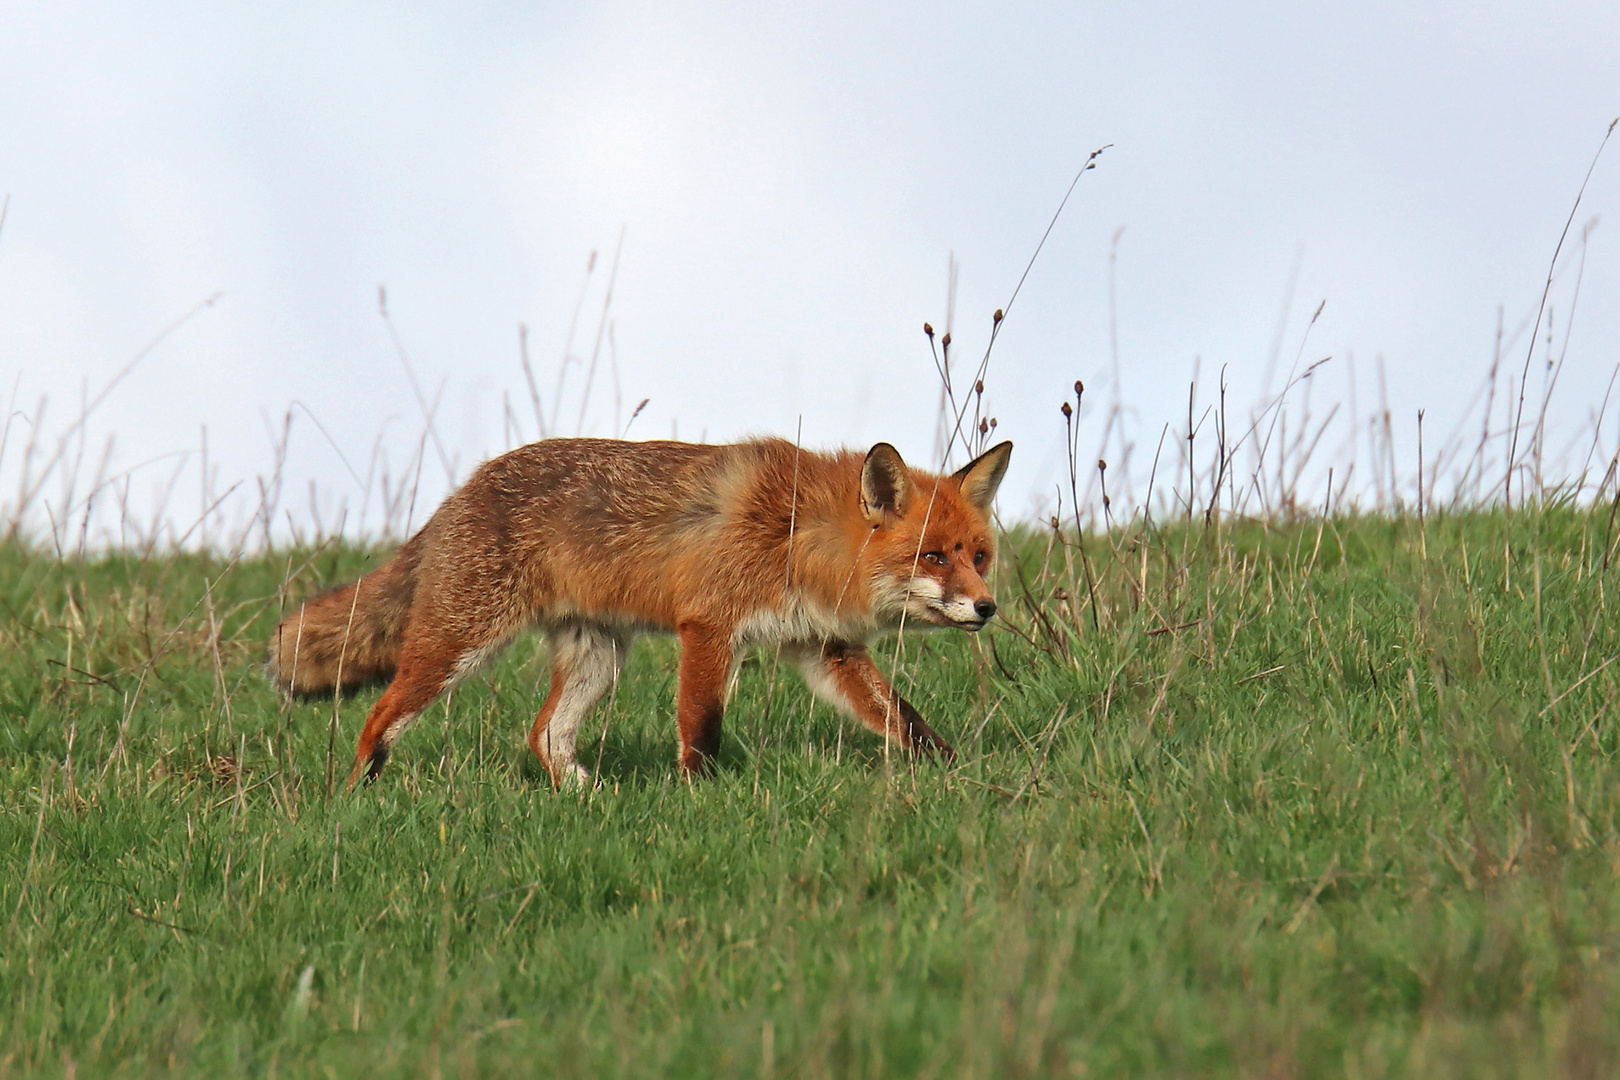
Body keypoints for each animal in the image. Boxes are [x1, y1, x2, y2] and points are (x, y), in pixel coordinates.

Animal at [273, 437, 1010, 786]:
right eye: (933, 557)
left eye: (979, 555)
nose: (988, 607)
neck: (800, 535)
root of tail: (460, 491)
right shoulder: (709, 625)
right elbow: (702, 727)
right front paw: (700, 799)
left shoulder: (821, 646)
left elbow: (903, 719)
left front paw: (953, 774)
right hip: (459, 644)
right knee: (378, 715)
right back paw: (359, 797)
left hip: (597, 658)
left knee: (543, 734)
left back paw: (588, 797)